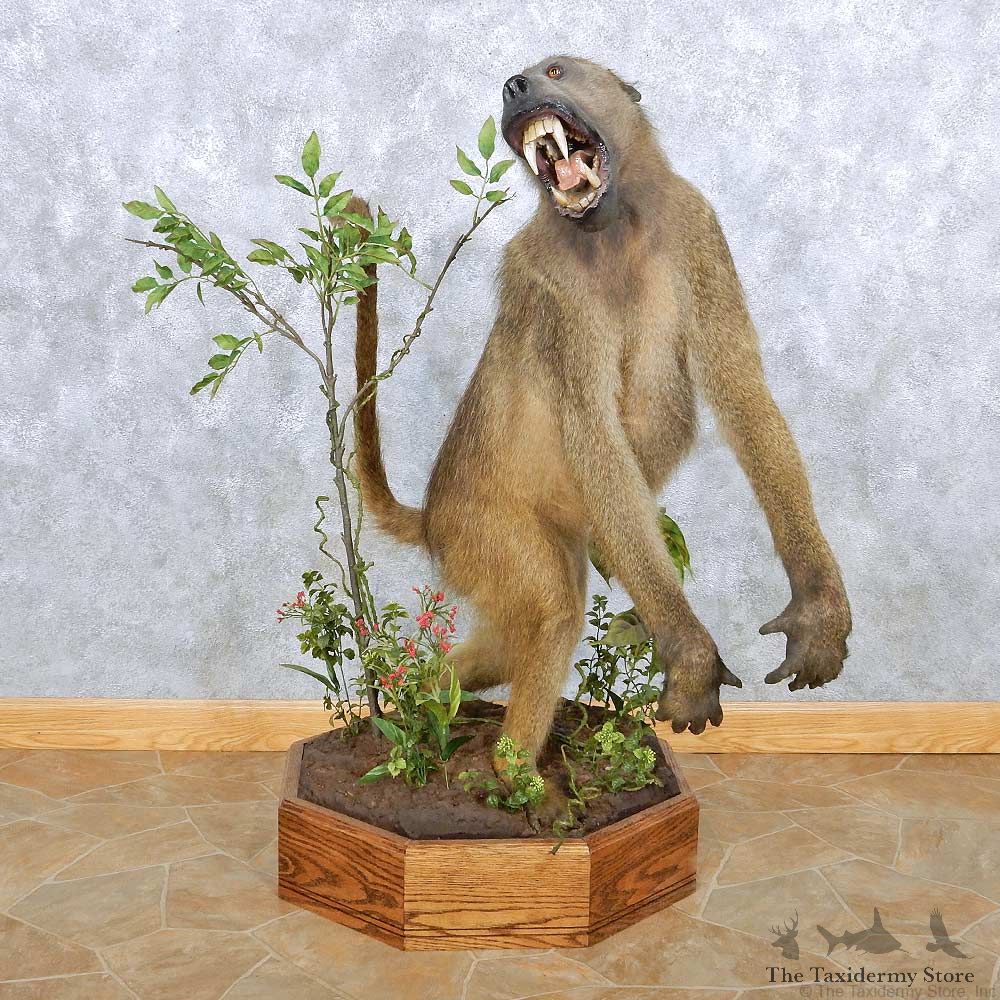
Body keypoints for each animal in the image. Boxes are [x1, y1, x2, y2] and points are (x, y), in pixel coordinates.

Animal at [353, 56, 851, 810]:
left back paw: (421, 701)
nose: (516, 86)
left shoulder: (699, 227)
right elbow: (595, 435)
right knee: (552, 612)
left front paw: (818, 607)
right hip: (485, 530)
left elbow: (741, 393)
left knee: (515, 633)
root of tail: (435, 514)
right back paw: (513, 776)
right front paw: (689, 656)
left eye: (556, 70)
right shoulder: (548, 286)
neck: (613, 226)